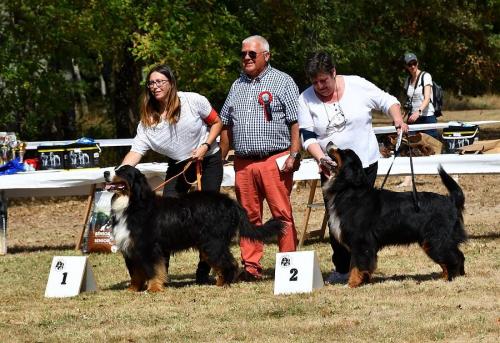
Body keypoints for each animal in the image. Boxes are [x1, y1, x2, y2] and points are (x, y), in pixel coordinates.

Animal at [103, 165, 284, 292]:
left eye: (122, 171)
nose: (105, 172)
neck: (132, 204)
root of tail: (230, 202)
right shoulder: (132, 248)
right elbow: (136, 273)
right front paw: (133, 289)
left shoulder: (148, 247)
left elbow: (153, 270)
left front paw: (153, 288)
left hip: (213, 243)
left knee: (229, 263)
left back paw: (224, 283)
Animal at [322, 142, 466, 288]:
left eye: (344, 151)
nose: (329, 143)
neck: (349, 190)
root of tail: (450, 199)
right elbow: (365, 265)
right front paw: (364, 281)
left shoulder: (361, 242)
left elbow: (357, 266)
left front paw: (351, 284)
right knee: (456, 256)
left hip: (435, 240)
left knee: (454, 258)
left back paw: (449, 279)